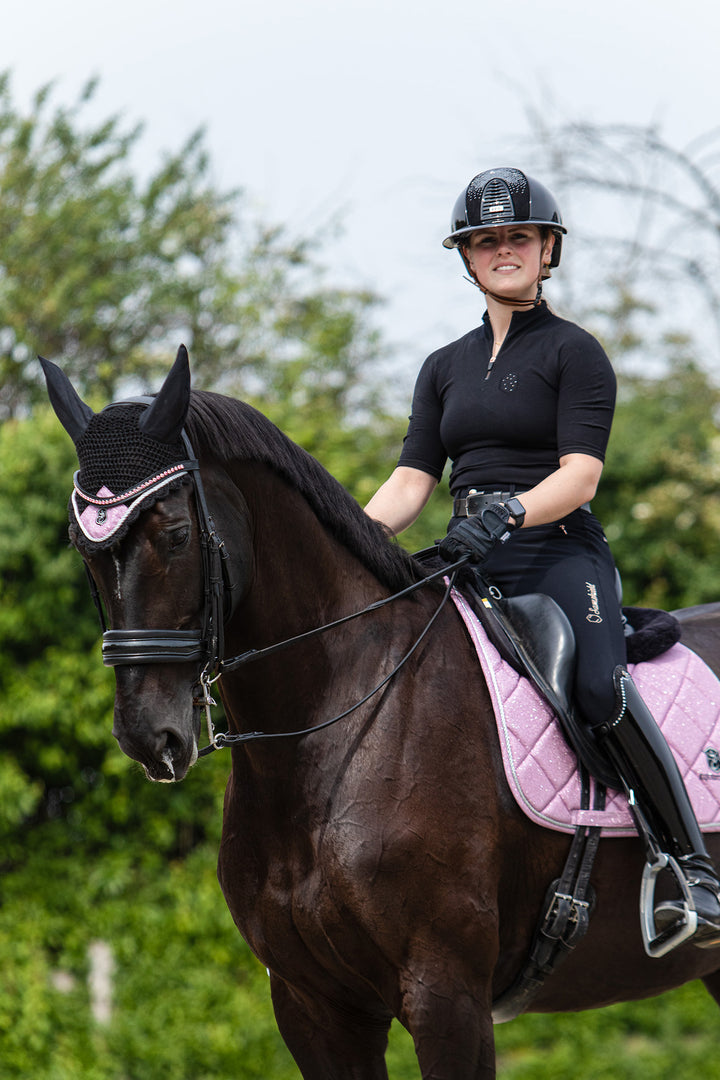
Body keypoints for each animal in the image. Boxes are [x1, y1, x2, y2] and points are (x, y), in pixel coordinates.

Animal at [42, 349, 720, 1075]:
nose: (149, 736)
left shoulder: (446, 996)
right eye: (82, 546)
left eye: (173, 535)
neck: (329, 738)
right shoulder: (313, 1006)